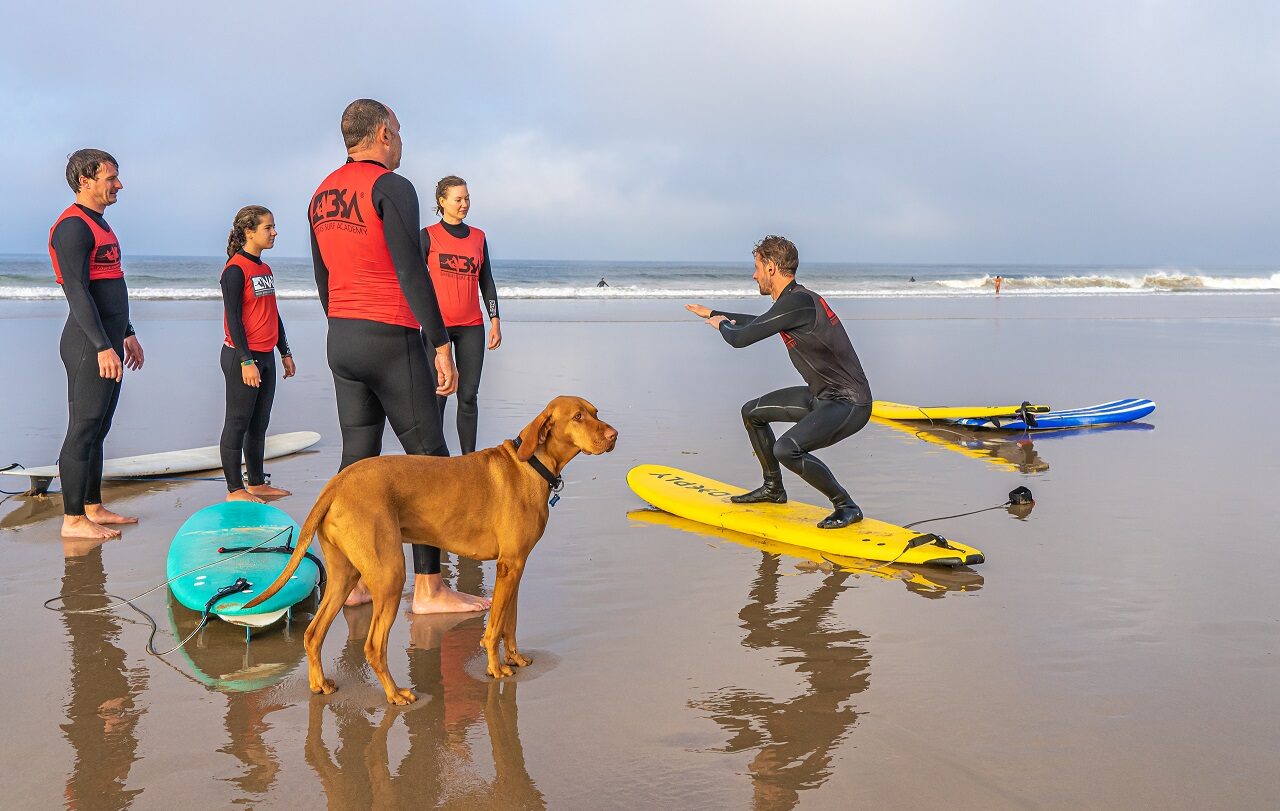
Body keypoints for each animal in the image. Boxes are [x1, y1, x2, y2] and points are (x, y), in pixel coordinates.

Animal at [244, 393, 619, 695]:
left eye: (595, 412)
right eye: (578, 417)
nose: (614, 435)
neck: (533, 465)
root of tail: (337, 483)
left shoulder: (515, 567)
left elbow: (509, 622)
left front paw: (515, 658)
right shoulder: (509, 566)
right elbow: (494, 627)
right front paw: (495, 668)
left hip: (343, 575)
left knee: (313, 633)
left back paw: (319, 684)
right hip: (390, 574)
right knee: (373, 646)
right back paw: (395, 694)